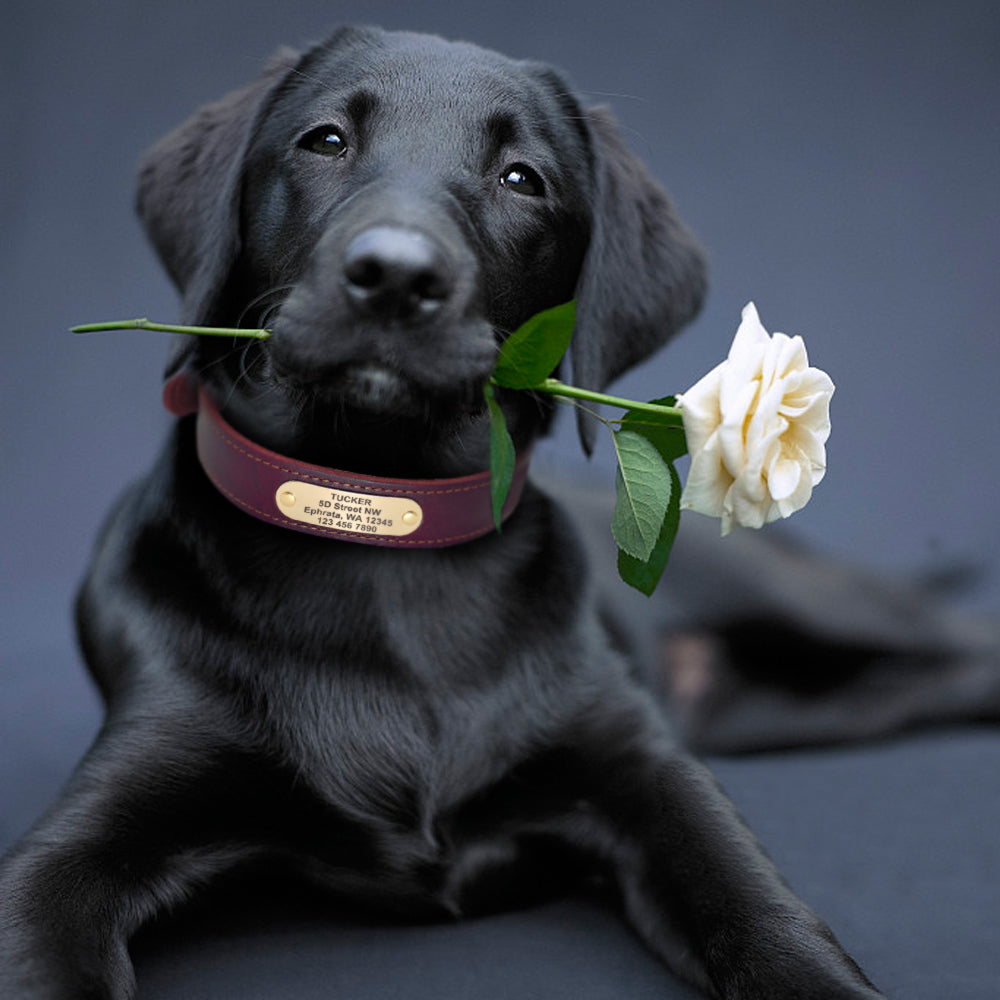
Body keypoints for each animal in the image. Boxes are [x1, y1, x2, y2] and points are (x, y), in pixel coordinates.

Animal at [0, 27, 884, 996]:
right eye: (326, 140)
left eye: (521, 178)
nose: (395, 275)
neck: (382, 517)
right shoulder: (87, 831)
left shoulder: (648, 769)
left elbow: (761, 906)